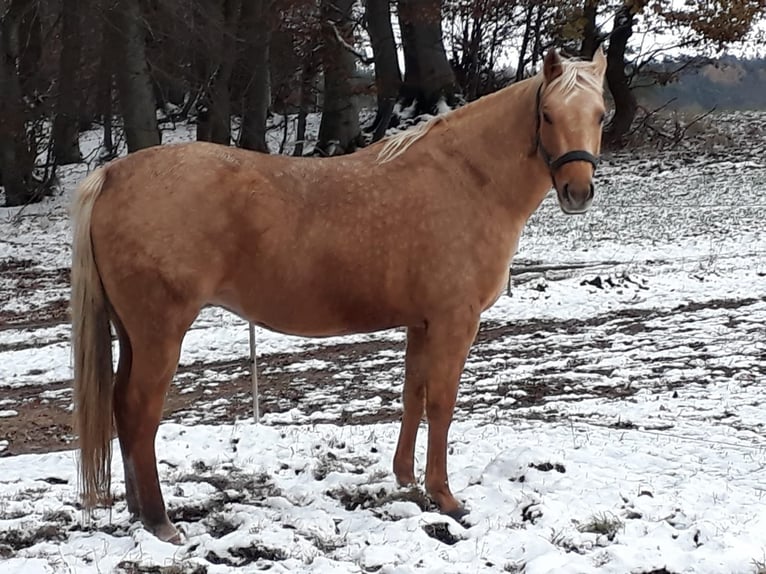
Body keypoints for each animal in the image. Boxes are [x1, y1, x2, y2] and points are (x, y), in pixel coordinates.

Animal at [73, 49, 612, 544]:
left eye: (600, 114)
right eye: (548, 115)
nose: (578, 191)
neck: (467, 178)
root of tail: (114, 175)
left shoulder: (421, 323)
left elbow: (412, 396)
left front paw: (405, 480)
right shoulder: (454, 322)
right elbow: (441, 403)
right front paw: (445, 497)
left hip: (132, 335)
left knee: (121, 406)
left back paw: (139, 512)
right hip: (160, 335)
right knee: (140, 411)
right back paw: (161, 522)